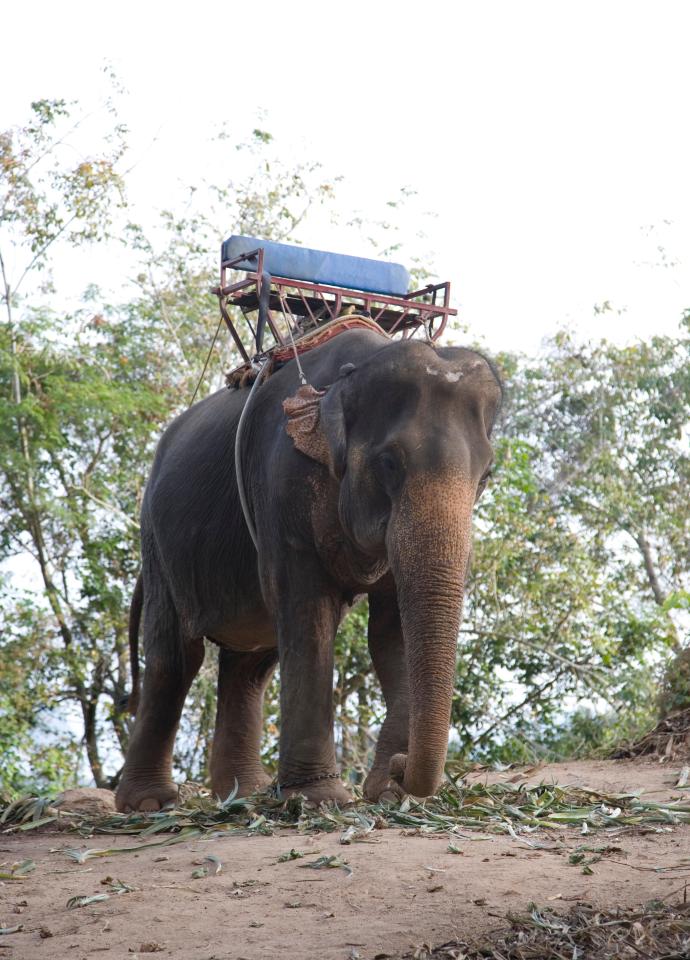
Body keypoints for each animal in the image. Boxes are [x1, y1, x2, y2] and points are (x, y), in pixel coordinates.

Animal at [113, 326, 500, 812]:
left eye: (485, 476)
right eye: (389, 463)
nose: (400, 767)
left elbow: (391, 632)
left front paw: (386, 793)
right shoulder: (282, 482)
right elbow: (308, 611)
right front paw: (319, 799)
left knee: (250, 666)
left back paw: (243, 794)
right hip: (158, 542)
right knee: (177, 657)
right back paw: (149, 804)